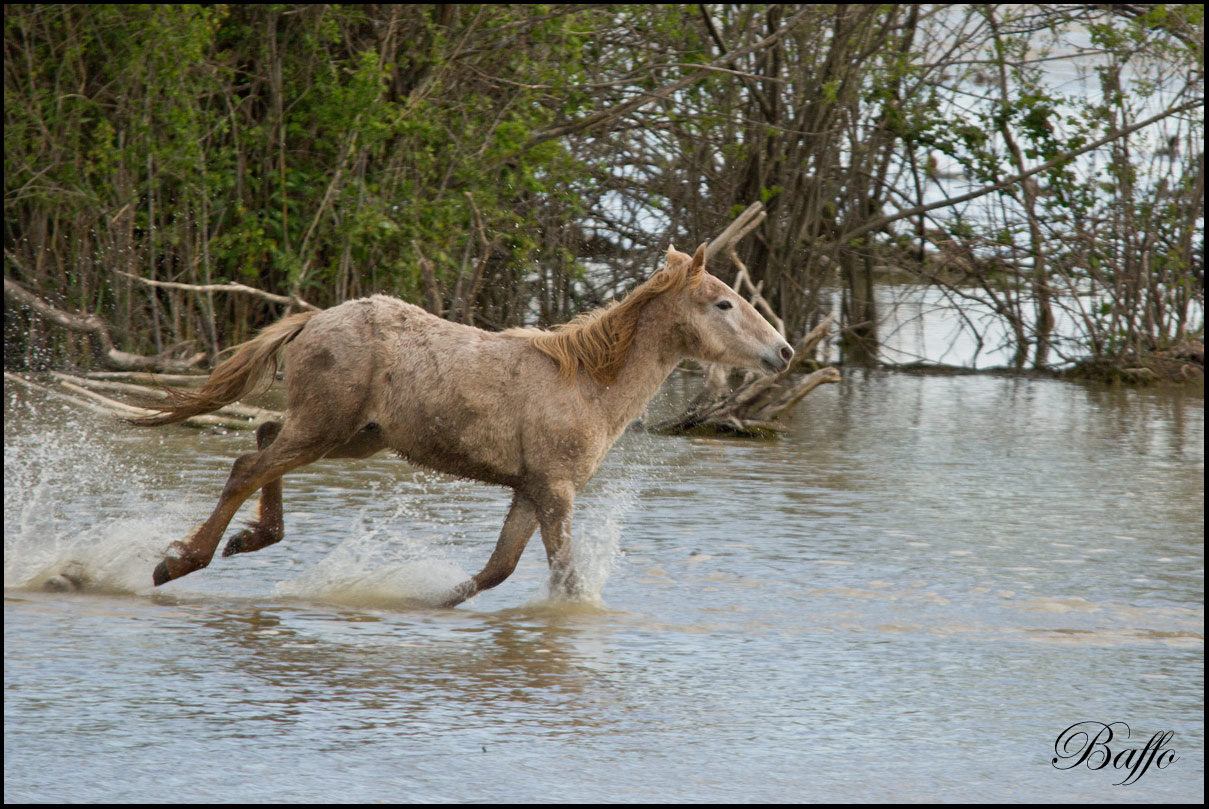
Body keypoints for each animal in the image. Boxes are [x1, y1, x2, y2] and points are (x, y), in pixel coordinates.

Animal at [134, 243, 793, 602]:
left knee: (263, 439)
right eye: (723, 302)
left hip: (349, 435)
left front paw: (423, 599)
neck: (588, 384)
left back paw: (251, 538)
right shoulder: (555, 490)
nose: (783, 351)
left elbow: (496, 571)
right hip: (325, 427)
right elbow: (565, 579)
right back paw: (180, 561)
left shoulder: (530, 490)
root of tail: (312, 320)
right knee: (248, 465)